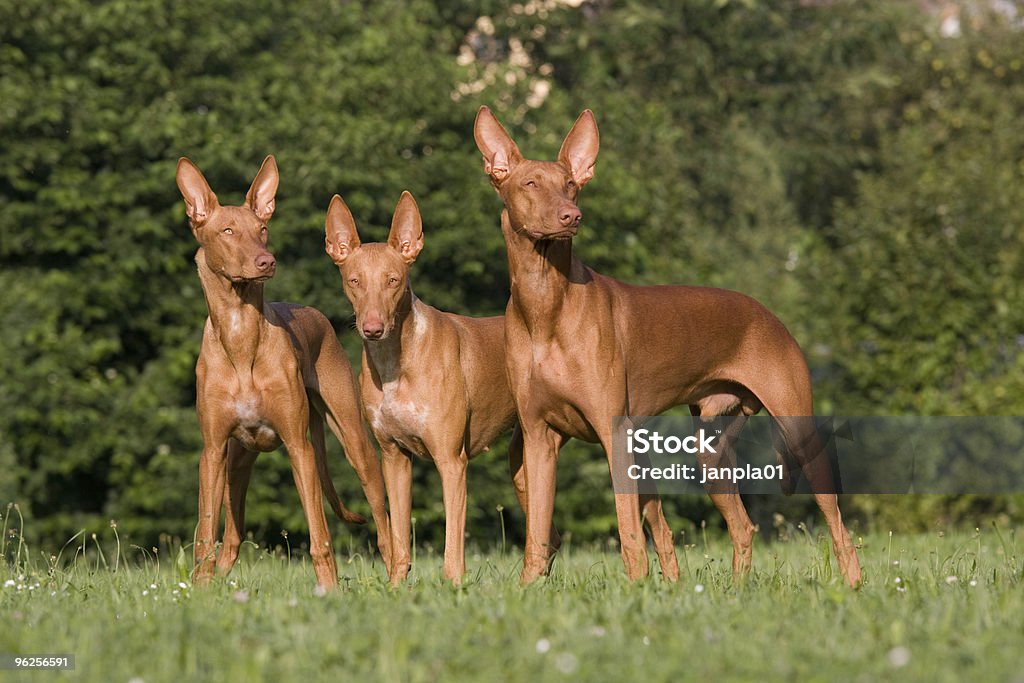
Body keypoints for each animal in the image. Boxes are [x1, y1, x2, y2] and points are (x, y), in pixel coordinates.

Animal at [176, 156, 391, 589]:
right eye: (227, 230)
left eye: (262, 229)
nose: (266, 261)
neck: (241, 335)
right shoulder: (212, 452)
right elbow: (206, 532)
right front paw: (201, 587)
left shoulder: (299, 447)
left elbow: (320, 535)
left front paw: (328, 589)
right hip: (236, 464)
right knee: (232, 536)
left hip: (356, 444)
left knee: (384, 523)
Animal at [323, 193, 557, 589]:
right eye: (354, 281)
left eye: (393, 280)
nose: (372, 328)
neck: (396, 364)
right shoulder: (394, 458)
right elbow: (399, 538)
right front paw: (396, 587)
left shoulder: (451, 461)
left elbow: (452, 544)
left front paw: (454, 587)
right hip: (523, 464)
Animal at [475, 107, 860, 589]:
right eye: (529, 184)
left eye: (571, 184)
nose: (571, 215)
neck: (545, 306)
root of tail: (768, 314)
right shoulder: (538, 437)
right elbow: (538, 531)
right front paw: (528, 588)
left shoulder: (614, 434)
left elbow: (627, 527)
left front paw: (636, 587)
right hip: (707, 451)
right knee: (742, 525)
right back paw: (735, 590)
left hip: (798, 430)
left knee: (839, 524)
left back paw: (852, 585)